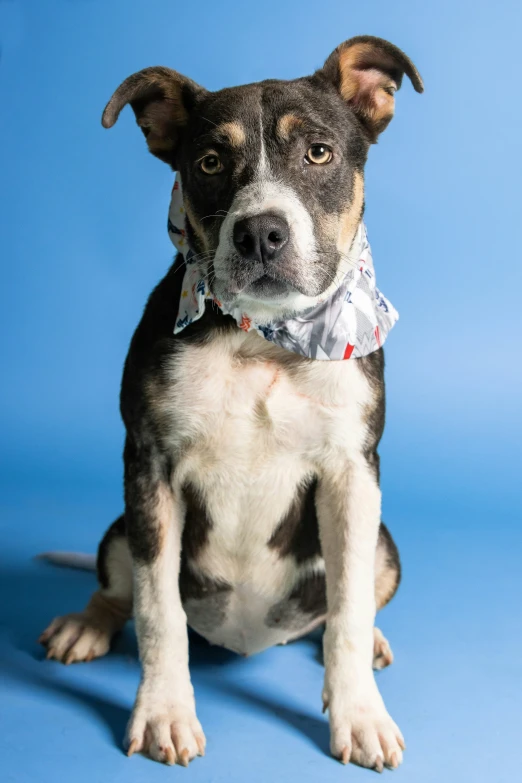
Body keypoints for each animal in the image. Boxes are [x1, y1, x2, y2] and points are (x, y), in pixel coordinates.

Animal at [39, 35, 422, 772]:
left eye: (319, 153)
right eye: (210, 162)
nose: (261, 233)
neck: (262, 339)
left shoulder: (352, 475)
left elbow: (349, 609)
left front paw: (359, 713)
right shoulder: (150, 469)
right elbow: (157, 610)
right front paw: (163, 711)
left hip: (386, 541)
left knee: (352, 600)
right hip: (121, 525)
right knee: (117, 588)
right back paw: (85, 625)